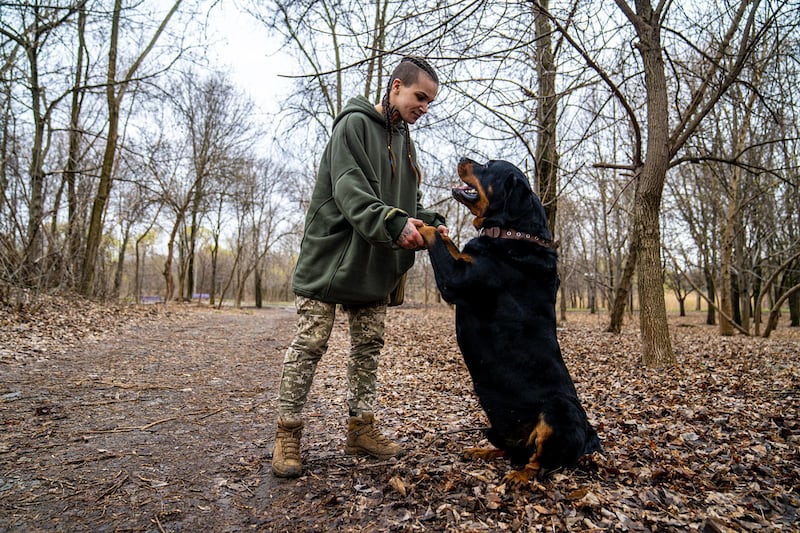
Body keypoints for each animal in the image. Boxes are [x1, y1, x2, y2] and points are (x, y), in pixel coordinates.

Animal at [418, 158, 600, 486]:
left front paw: (422, 226)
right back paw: (483, 452)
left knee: (541, 462)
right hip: (498, 427)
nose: (463, 158)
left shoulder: (456, 279)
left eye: (489, 165)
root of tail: (589, 439)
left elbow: (436, 236)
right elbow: (448, 240)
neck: (513, 234)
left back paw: (520, 476)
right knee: (514, 450)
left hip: (559, 410)